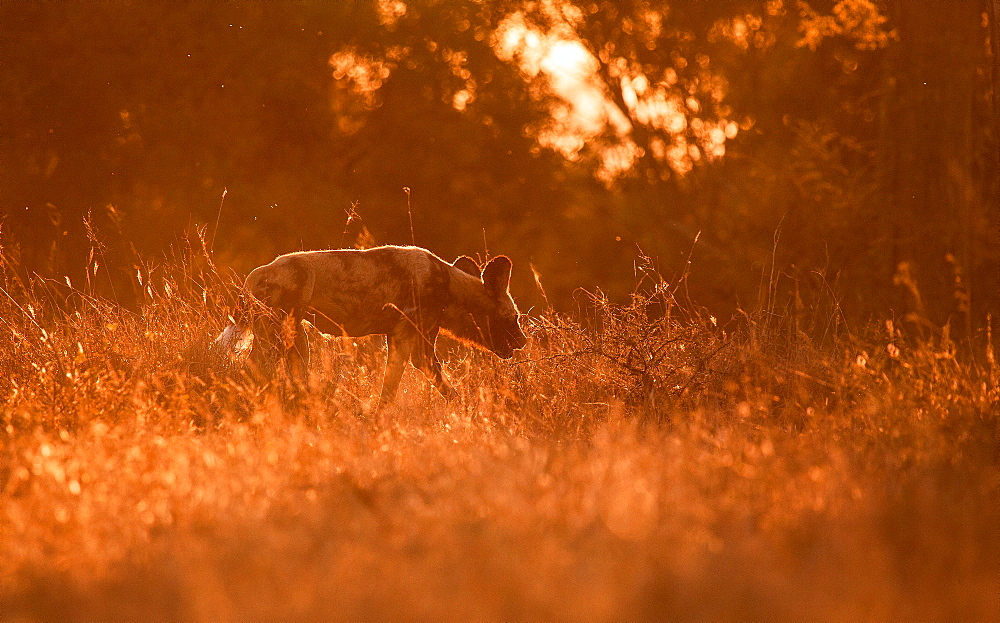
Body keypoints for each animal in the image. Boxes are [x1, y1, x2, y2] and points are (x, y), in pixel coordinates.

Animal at [241, 246, 528, 408]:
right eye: (512, 318)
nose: (523, 341)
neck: (449, 287)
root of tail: (256, 274)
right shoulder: (404, 337)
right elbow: (388, 391)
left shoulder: (421, 348)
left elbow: (444, 387)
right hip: (275, 335)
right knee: (253, 367)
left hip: (295, 339)